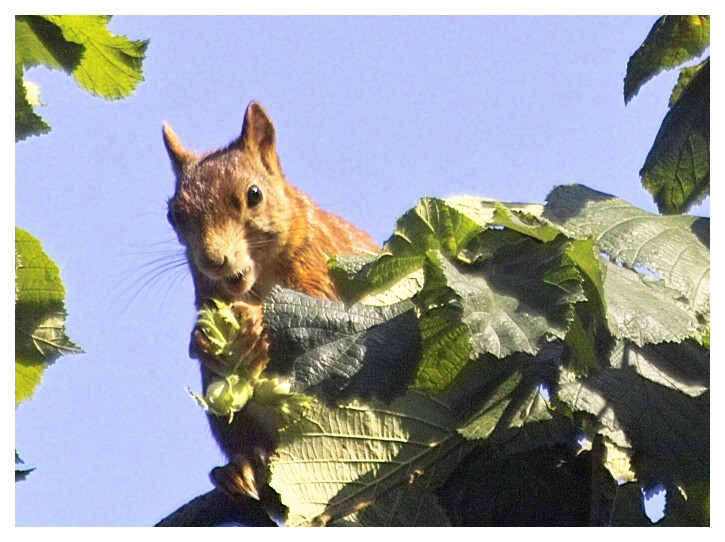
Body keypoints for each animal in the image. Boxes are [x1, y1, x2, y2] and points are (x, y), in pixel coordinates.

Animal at [163, 101, 378, 520]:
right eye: (173, 215)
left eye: (254, 194)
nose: (213, 259)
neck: (257, 283)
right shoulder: (206, 291)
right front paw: (201, 339)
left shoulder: (325, 258)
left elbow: (326, 306)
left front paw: (258, 324)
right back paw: (240, 468)